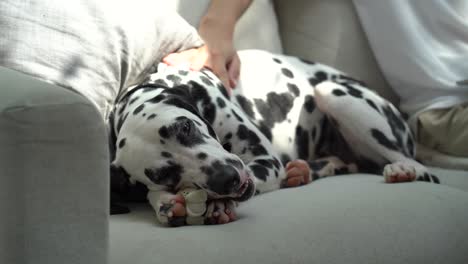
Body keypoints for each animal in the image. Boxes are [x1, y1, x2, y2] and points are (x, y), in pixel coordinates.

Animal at [109, 49, 438, 225]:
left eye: (185, 127)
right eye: (163, 174)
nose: (227, 178)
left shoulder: (264, 159)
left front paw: (216, 205)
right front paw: (164, 202)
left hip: (336, 94)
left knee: (415, 164)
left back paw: (404, 169)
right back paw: (304, 171)